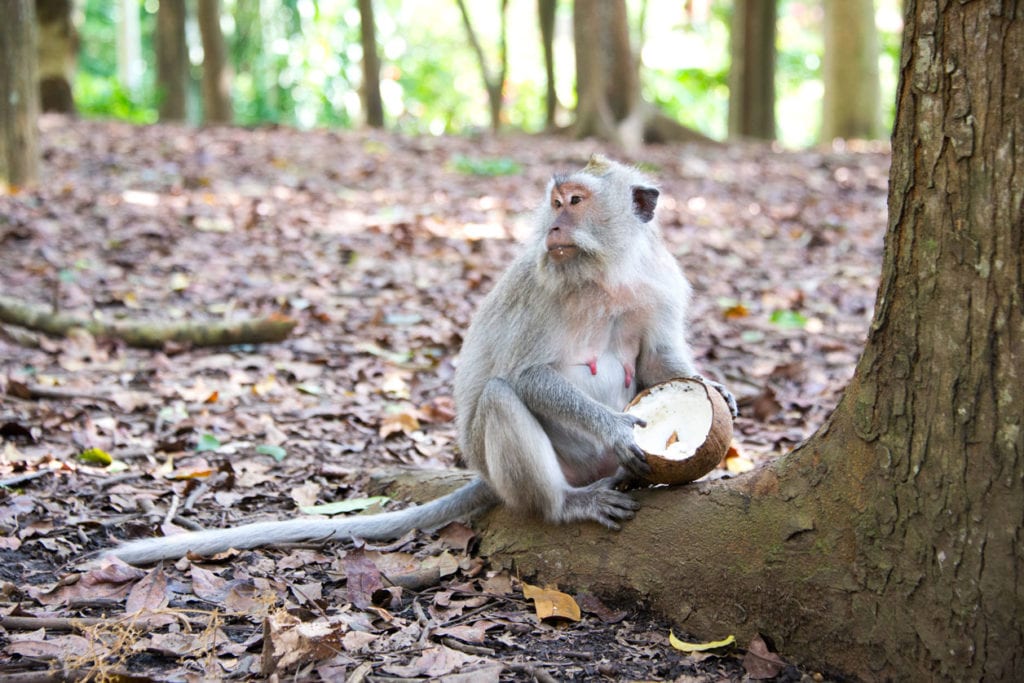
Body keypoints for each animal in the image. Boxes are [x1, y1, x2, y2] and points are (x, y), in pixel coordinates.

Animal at [108, 156, 737, 565]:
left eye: (576, 201)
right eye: (556, 203)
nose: (556, 224)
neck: (607, 275)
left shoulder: (656, 283)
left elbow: (658, 360)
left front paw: (715, 389)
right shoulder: (544, 285)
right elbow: (526, 375)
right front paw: (616, 426)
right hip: (532, 469)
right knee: (501, 399)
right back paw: (564, 506)